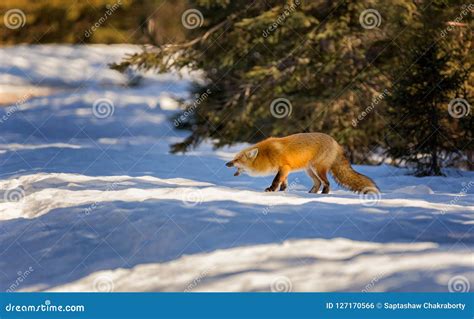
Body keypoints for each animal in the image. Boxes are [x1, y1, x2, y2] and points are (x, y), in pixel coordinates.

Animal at [225, 133, 378, 195]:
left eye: (236, 160)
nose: (226, 164)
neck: (266, 155)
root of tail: (336, 143)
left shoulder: (284, 167)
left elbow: (276, 180)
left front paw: (271, 190)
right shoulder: (285, 169)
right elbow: (283, 182)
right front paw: (282, 191)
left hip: (318, 169)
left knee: (326, 183)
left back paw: (323, 194)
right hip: (309, 171)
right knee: (317, 183)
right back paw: (311, 193)